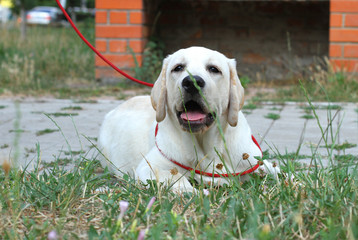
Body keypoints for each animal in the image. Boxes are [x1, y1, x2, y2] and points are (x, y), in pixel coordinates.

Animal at [98, 46, 280, 191]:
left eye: (214, 69)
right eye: (178, 68)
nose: (192, 82)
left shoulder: (255, 162)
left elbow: (279, 171)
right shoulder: (150, 166)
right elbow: (177, 180)